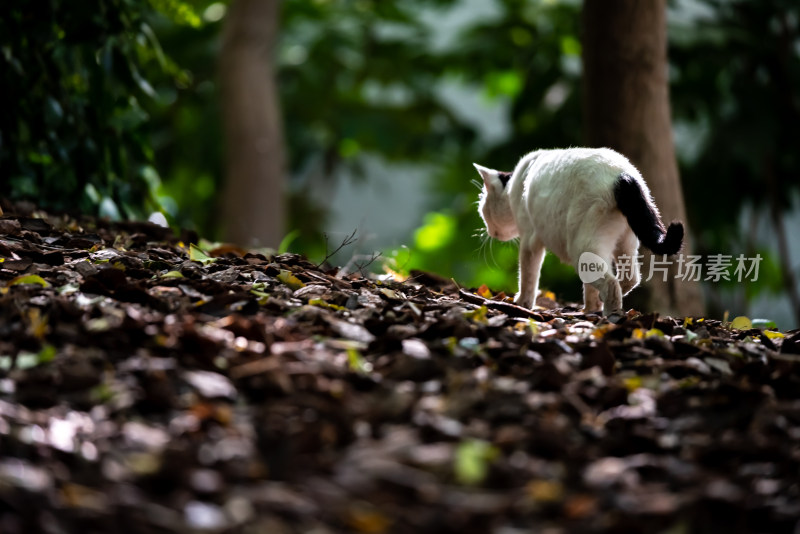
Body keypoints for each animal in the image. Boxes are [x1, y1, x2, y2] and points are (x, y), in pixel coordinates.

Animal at [476, 149, 680, 316]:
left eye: (482, 209)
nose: (489, 231)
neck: (515, 184)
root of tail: (622, 176)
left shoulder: (529, 241)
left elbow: (528, 277)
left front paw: (521, 303)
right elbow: (591, 290)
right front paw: (591, 308)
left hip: (582, 248)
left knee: (611, 283)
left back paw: (610, 315)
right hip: (623, 244)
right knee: (630, 277)